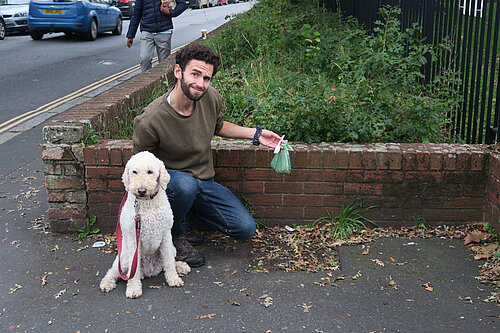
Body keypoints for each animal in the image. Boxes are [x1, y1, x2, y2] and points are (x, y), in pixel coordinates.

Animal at [100, 150, 190, 298]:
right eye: (134, 172)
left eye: (150, 171)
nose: (141, 190)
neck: (147, 203)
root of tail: (149, 270)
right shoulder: (133, 239)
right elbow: (133, 269)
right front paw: (133, 288)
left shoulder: (166, 235)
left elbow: (169, 262)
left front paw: (174, 278)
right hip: (123, 257)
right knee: (114, 271)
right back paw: (107, 283)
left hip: (172, 248)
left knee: (168, 262)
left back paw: (180, 266)